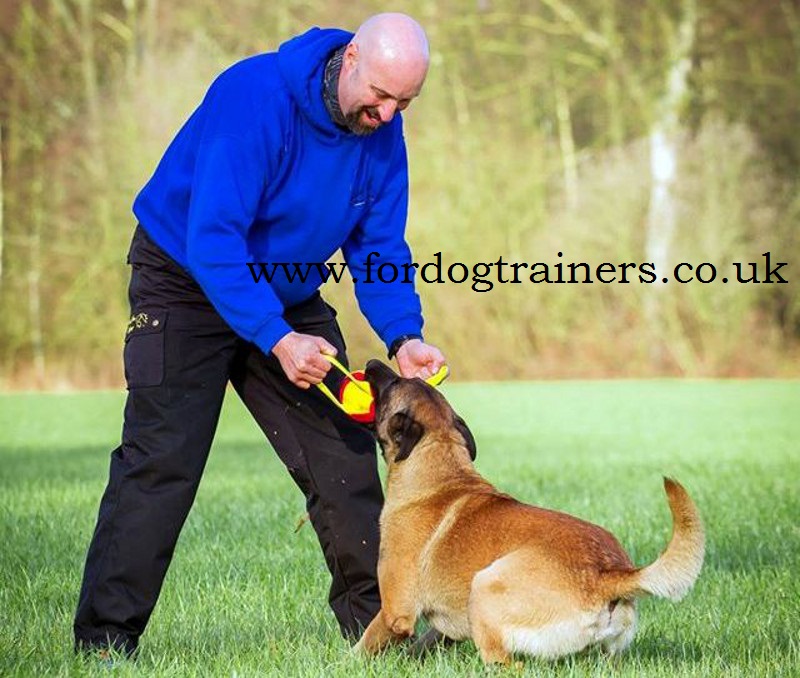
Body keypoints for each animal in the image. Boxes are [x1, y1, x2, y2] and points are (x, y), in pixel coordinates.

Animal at [354, 364, 704, 668]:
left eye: (394, 383)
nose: (371, 363)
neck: (441, 468)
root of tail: (607, 574)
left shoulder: (395, 613)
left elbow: (365, 644)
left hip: (484, 587)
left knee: (507, 665)